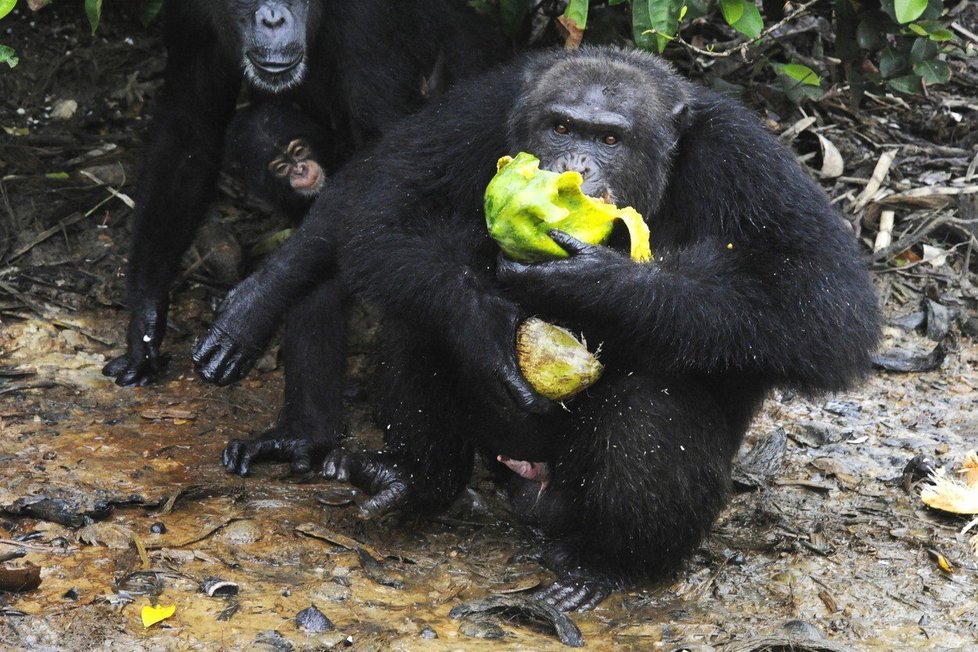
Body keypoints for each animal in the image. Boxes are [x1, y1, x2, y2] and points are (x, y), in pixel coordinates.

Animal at [103, 1, 508, 474]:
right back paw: (299, 437)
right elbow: (189, 125)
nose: (273, 16)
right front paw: (146, 322)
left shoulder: (369, 25)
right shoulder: (188, 17)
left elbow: (387, 146)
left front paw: (250, 308)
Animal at [189, 47, 876, 612]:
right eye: (562, 126)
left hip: (574, 497)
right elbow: (382, 205)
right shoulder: (480, 109)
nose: (575, 165)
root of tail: (530, 488)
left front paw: (590, 281)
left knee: (658, 396)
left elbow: (822, 301)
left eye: (610, 137)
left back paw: (611, 564)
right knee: (419, 306)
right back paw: (414, 480)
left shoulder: (748, 160)